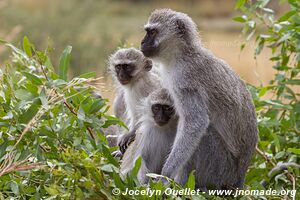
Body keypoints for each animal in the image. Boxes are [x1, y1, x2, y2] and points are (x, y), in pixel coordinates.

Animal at [141, 8, 258, 189]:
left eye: (152, 32)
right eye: (147, 31)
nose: (142, 43)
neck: (180, 54)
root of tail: (239, 177)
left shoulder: (185, 80)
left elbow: (195, 123)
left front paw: (165, 174)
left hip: (221, 170)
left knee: (204, 133)